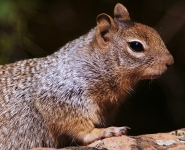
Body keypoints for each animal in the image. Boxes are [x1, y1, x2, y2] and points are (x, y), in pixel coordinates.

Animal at [0, 2, 173, 149]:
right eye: (136, 45)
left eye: (154, 32)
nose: (170, 62)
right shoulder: (63, 97)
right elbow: (79, 128)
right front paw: (104, 131)